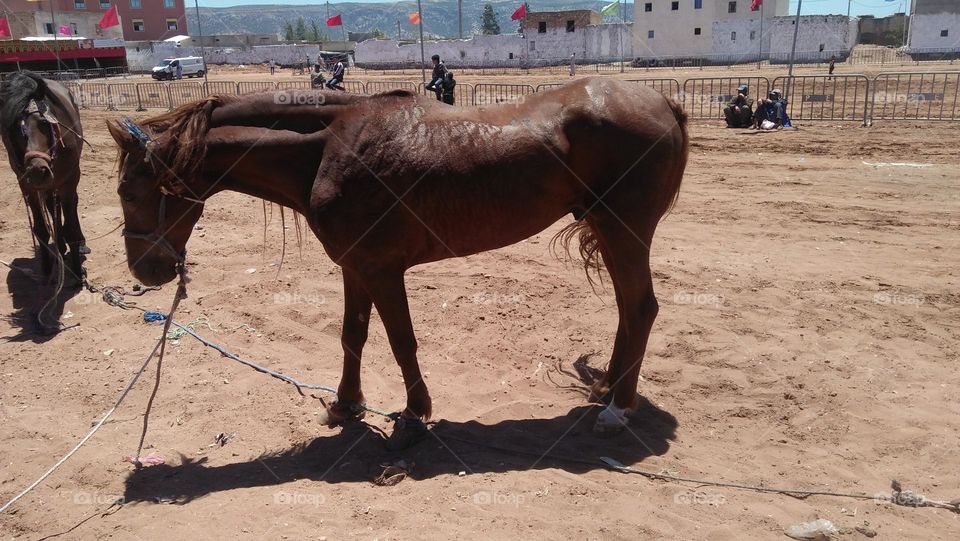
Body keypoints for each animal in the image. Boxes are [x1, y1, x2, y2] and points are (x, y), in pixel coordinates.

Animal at [0, 71, 88, 286]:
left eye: (44, 123)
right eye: (13, 129)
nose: (37, 171)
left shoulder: (69, 179)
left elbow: (71, 224)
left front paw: (77, 272)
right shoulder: (26, 186)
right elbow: (40, 229)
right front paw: (47, 269)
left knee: (68, 205)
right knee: (51, 205)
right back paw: (60, 247)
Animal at [106, 77, 689, 447]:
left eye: (129, 190)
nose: (145, 272)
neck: (329, 146)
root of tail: (664, 102)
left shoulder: (383, 270)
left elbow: (400, 340)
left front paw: (413, 416)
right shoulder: (354, 267)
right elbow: (353, 336)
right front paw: (345, 404)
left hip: (624, 231)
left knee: (641, 308)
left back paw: (618, 409)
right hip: (610, 233)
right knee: (627, 308)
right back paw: (607, 388)